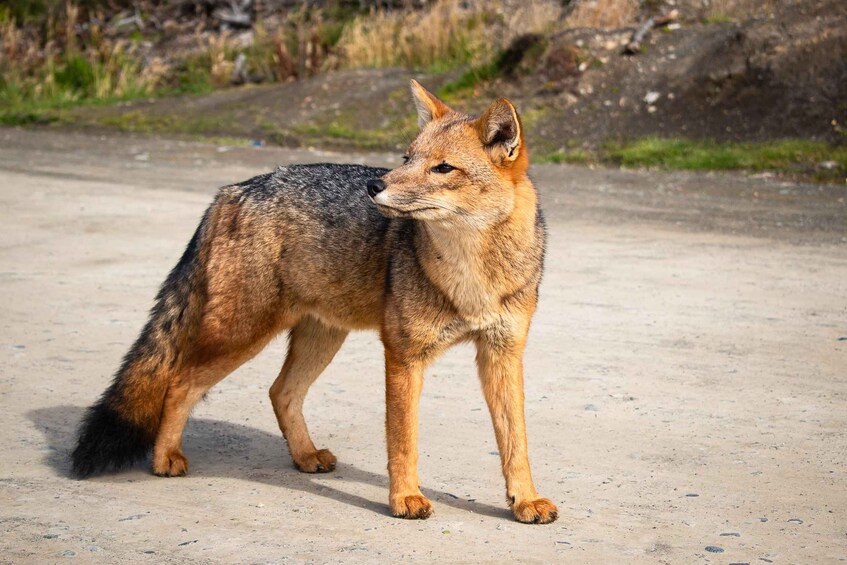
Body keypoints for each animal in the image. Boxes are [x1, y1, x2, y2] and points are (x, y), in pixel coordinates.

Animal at [72, 80, 557, 524]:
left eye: (443, 168)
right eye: (407, 159)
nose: (373, 184)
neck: (472, 278)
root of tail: (232, 190)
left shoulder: (502, 354)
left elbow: (516, 442)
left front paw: (525, 500)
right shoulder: (404, 356)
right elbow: (404, 441)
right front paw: (404, 498)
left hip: (320, 338)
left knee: (280, 391)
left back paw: (304, 457)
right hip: (241, 336)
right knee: (178, 383)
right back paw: (164, 459)